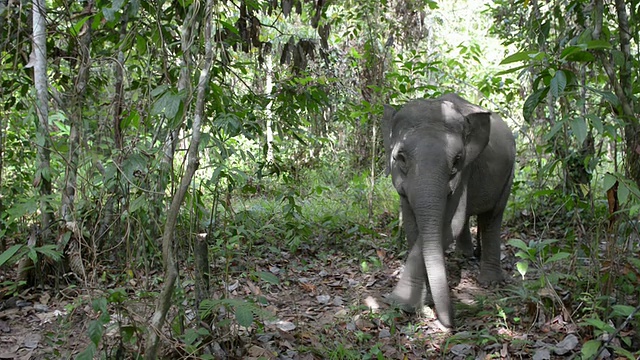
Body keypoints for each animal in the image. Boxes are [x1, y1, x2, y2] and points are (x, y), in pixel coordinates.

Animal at [380, 93, 516, 330]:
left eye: (457, 160)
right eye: (401, 157)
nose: (451, 323)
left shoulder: (465, 172)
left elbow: (451, 224)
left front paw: (403, 303)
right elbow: (413, 228)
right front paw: (413, 302)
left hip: (509, 174)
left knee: (492, 217)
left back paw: (489, 282)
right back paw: (465, 255)